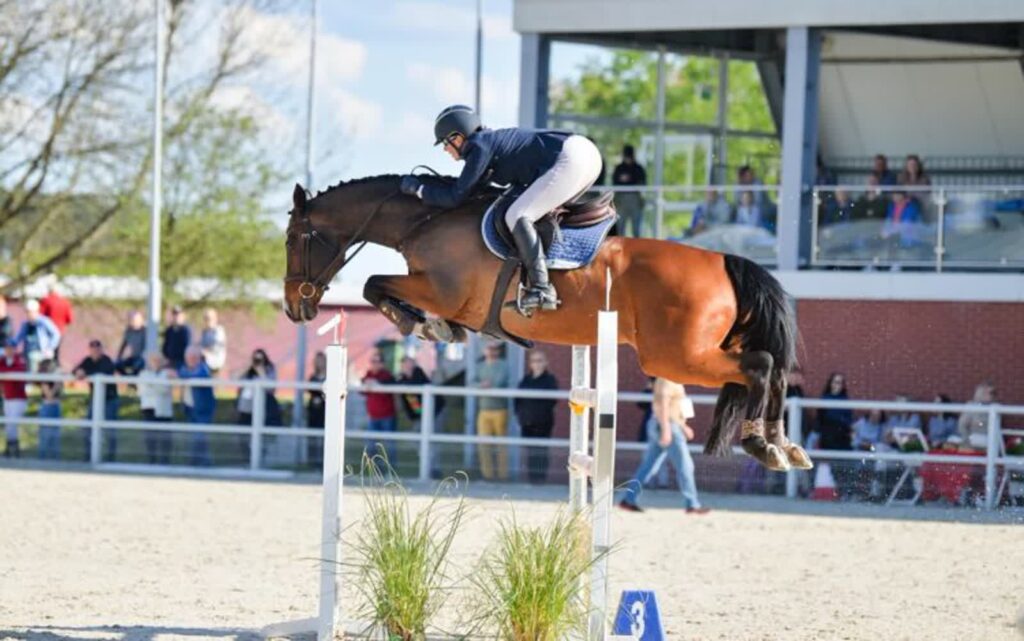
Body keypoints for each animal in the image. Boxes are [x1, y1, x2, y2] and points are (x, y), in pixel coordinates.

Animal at [284, 175, 811, 468]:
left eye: (292, 238)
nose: (294, 308)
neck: (427, 219)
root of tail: (724, 260)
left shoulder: (442, 291)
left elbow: (375, 284)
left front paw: (427, 326)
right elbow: (379, 286)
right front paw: (437, 329)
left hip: (676, 357)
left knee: (761, 366)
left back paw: (762, 445)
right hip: (697, 350)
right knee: (774, 370)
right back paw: (784, 445)